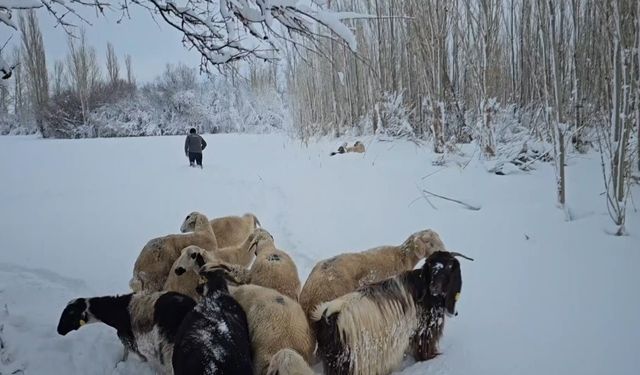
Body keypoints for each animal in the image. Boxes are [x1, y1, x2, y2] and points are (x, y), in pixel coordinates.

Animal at [312, 251, 472, 375]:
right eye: (431, 266)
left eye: (449, 266)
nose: (434, 287)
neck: (424, 291)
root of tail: (328, 315)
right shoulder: (424, 330)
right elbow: (424, 348)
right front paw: (431, 358)